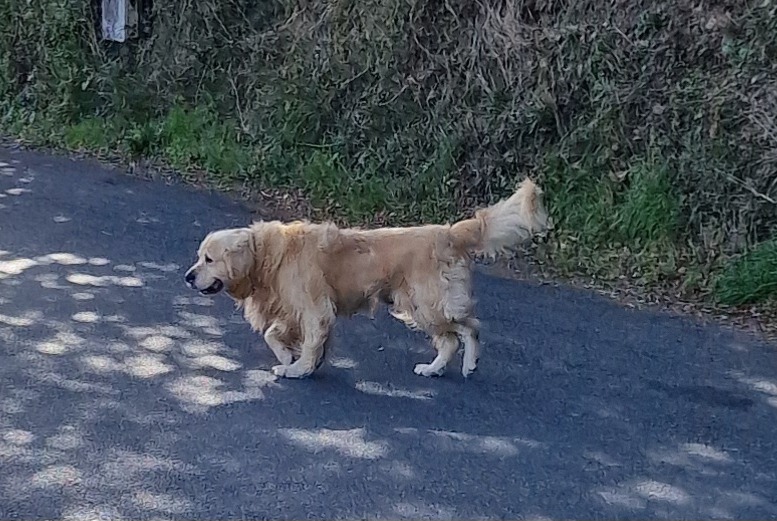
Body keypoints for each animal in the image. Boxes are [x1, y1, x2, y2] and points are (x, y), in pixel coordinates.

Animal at [184, 178, 548, 378]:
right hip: (417, 306)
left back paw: (470, 364)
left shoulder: (315, 309)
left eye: (208, 259)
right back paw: (433, 369)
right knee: (449, 340)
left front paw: (297, 369)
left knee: (469, 328)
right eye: (199, 257)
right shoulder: (291, 308)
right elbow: (274, 334)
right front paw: (289, 356)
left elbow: (307, 342)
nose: (187, 277)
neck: (268, 255)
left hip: (429, 302)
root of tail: (448, 232)